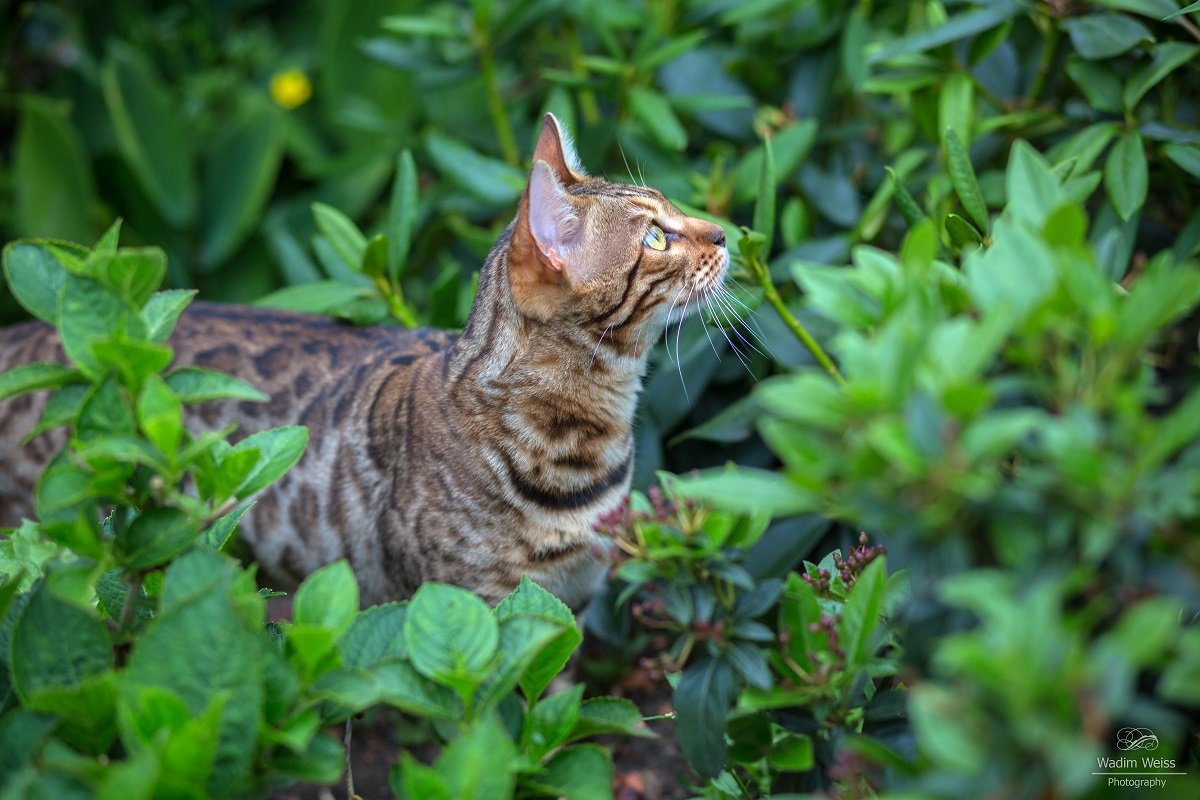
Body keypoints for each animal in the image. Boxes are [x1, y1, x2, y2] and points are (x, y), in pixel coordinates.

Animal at [0, 113, 724, 606]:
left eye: (674, 208)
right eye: (656, 238)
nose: (723, 232)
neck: (583, 446)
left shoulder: (568, 601)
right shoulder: (485, 610)